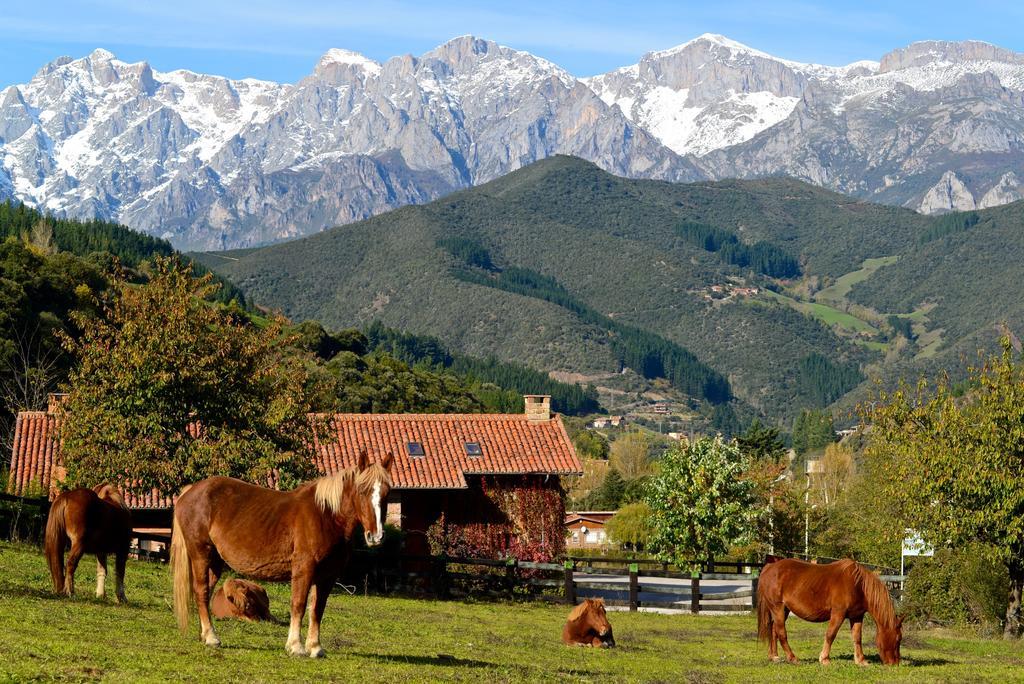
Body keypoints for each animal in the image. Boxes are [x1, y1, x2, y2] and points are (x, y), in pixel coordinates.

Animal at [172, 448, 391, 655]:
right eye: (362, 491)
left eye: (387, 493)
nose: (376, 537)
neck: (326, 516)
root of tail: (190, 491)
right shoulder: (304, 568)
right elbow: (299, 604)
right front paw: (295, 646)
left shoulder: (327, 575)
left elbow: (317, 609)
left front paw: (315, 647)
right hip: (201, 554)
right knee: (201, 591)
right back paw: (211, 637)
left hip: (215, 562)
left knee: (206, 592)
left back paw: (205, 635)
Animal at [753, 557, 905, 663]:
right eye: (898, 639)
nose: (895, 663)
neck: (858, 585)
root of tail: (769, 567)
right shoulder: (838, 614)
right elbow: (830, 634)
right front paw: (824, 659)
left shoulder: (856, 616)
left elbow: (857, 637)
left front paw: (860, 660)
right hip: (777, 607)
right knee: (781, 632)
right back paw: (792, 658)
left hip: (784, 610)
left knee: (774, 630)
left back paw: (774, 656)